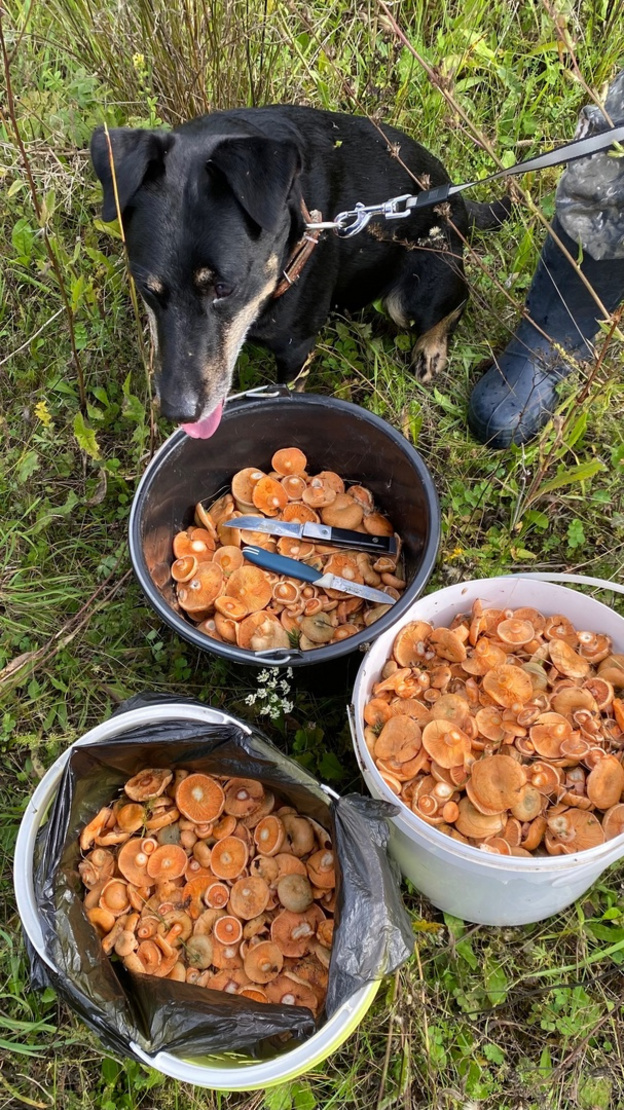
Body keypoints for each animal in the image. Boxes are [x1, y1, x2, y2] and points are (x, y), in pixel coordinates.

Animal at [89, 106, 506, 437]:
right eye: (147, 289)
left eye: (224, 288)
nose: (179, 413)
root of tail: (456, 198)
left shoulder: (295, 352)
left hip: (413, 294)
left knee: (459, 298)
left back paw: (431, 347)